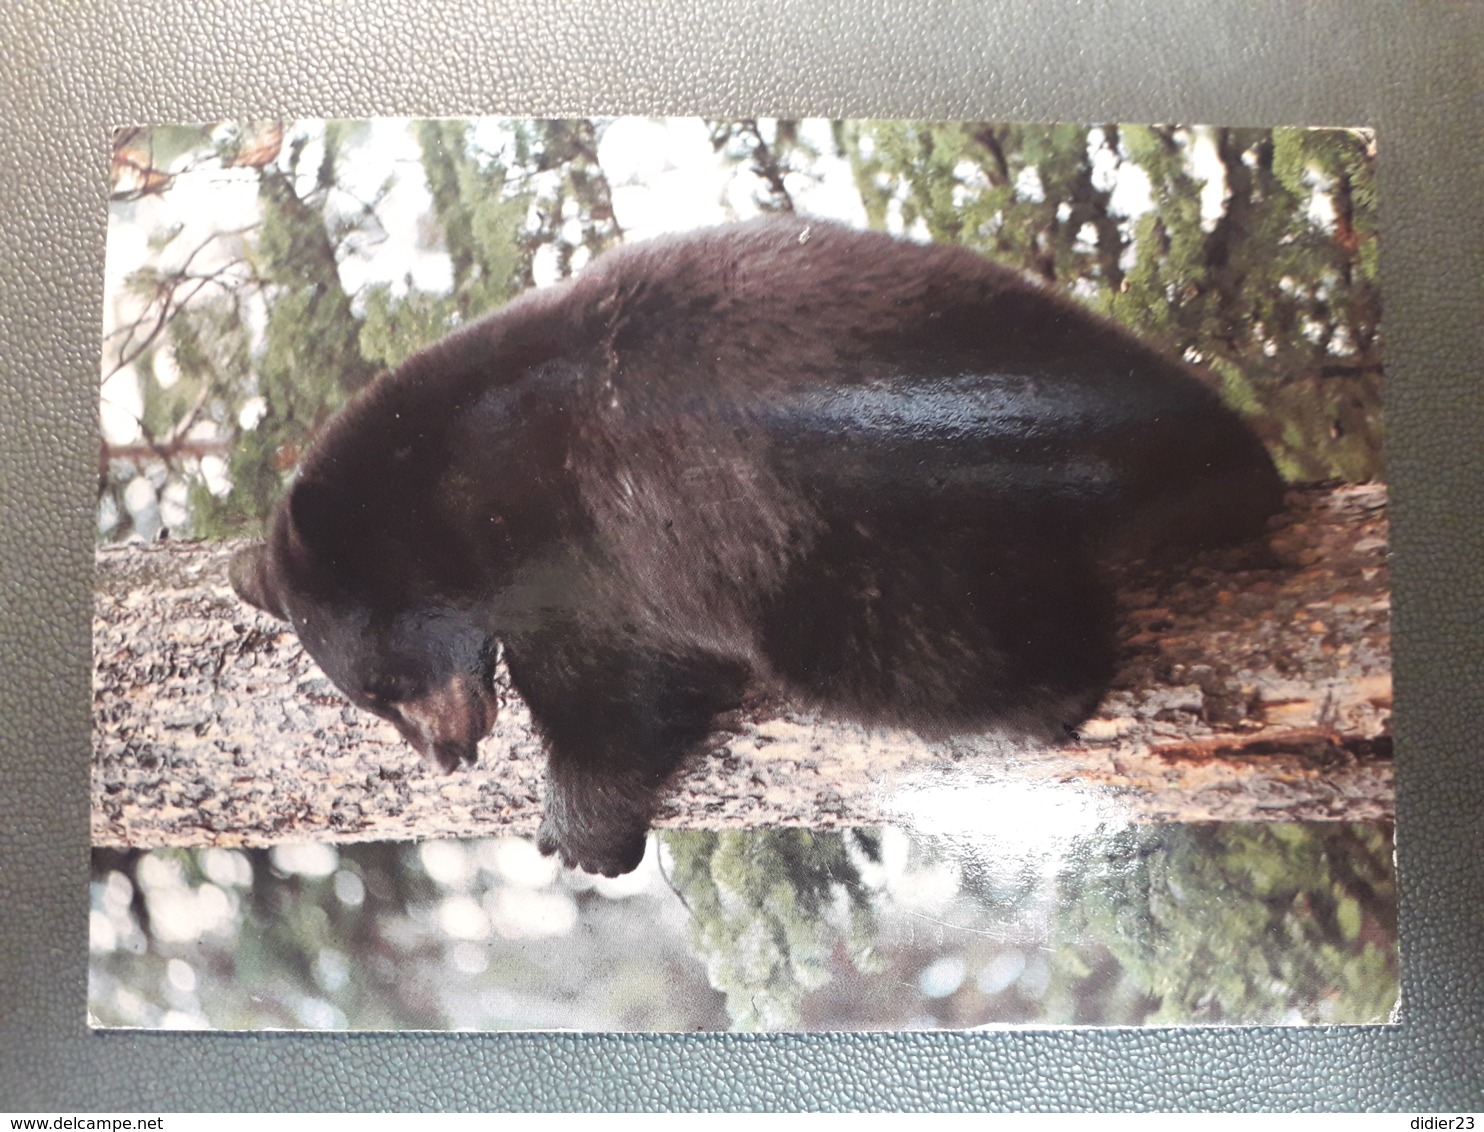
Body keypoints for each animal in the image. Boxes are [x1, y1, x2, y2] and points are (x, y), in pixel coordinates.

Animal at [231, 219, 1288, 878]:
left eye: (383, 685)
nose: (450, 753)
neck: (452, 487)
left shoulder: (593, 536)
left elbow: (618, 692)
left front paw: (573, 827)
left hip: (841, 537)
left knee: (914, 653)